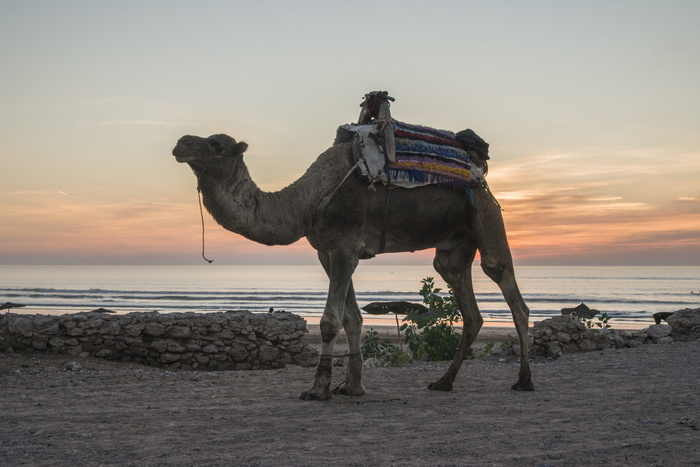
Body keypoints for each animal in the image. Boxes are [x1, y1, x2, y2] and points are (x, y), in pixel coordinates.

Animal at [172, 104, 532, 400]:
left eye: (217, 145)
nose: (181, 143)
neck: (308, 201)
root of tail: (480, 171)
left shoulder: (345, 248)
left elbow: (331, 321)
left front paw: (318, 389)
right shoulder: (328, 252)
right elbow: (352, 318)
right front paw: (352, 386)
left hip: (484, 213)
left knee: (506, 284)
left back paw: (524, 380)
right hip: (455, 244)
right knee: (466, 301)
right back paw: (444, 382)